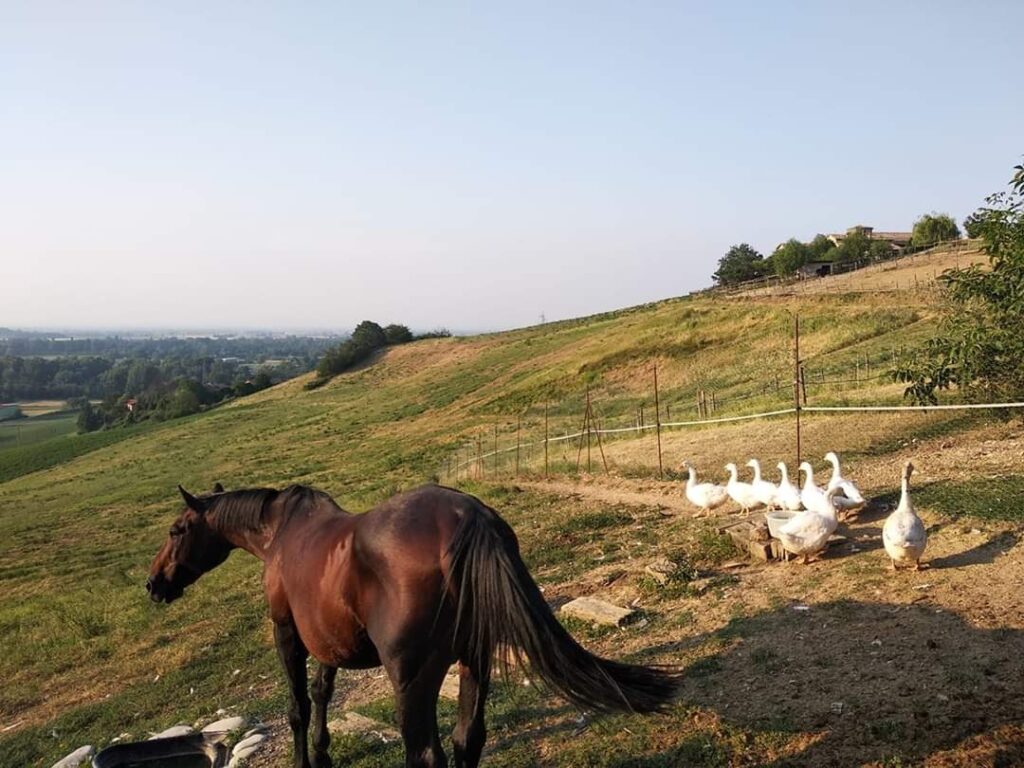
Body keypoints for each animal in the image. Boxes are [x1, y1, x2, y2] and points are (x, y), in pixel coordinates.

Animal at [147, 482, 681, 768]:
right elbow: (322, 693)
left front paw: (305, 758)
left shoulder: (287, 633)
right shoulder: (329, 643)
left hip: (412, 678)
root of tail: (468, 517)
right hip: (474, 660)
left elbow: (299, 706)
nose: (154, 585)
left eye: (177, 530)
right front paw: (322, 753)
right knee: (468, 739)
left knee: (425, 753)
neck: (279, 533)